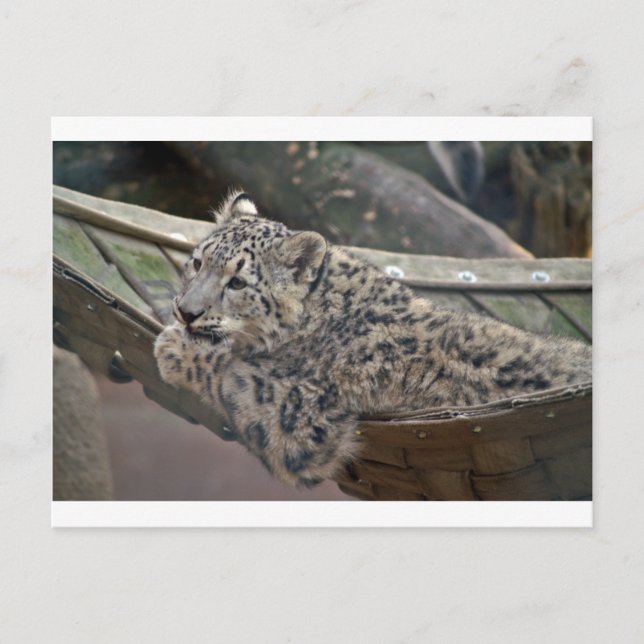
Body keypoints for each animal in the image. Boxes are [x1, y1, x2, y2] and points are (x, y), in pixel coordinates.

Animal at [154, 190, 592, 488]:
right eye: (197, 262)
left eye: (238, 282)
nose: (186, 311)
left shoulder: (296, 415)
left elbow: (229, 373)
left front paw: (174, 347)